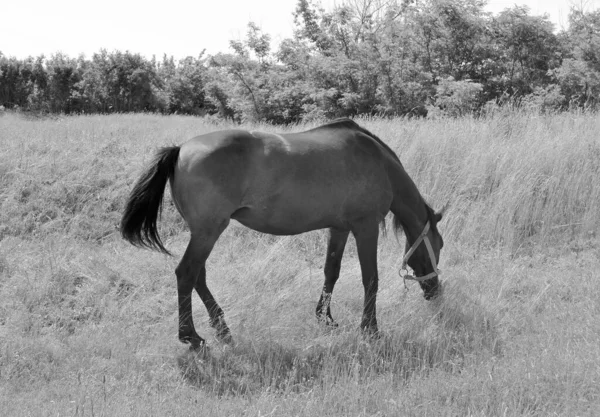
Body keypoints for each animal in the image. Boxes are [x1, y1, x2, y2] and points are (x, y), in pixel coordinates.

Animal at [119, 118, 442, 348]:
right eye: (438, 246)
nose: (435, 291)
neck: (379, 164)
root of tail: (180, 150)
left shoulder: (338, 228)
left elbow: (331, 272)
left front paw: (325, 318)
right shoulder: (365, 227)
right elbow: (371, 279)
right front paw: (370, 330)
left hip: (203, 233)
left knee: (198, 276)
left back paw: (222, 330)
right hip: (208, 232)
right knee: (186, 273)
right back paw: (191, 336)